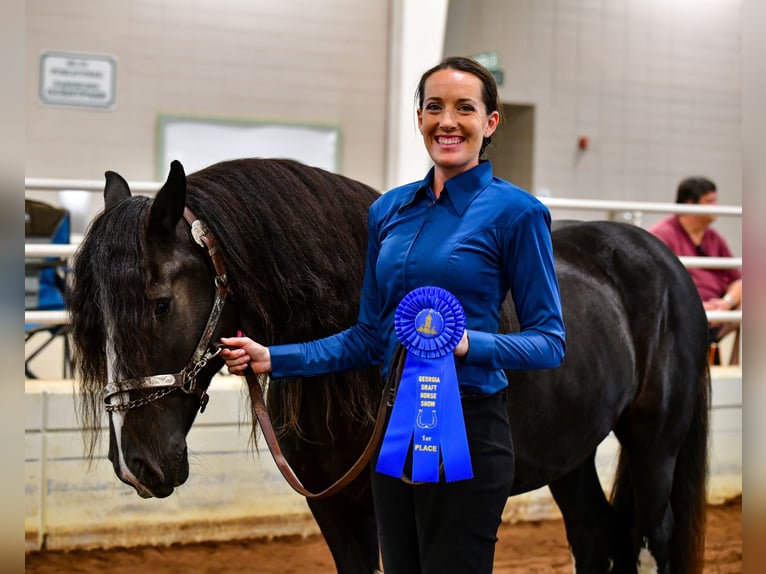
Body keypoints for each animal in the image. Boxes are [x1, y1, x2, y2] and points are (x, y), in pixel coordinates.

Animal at [69, 159, 712, 574]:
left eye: (159, 303)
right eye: (97, 315)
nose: (137, 466)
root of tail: (662, 260)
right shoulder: (333, 507)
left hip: (655, 449)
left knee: (651, 538)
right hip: (570, 455)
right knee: (595, 538)